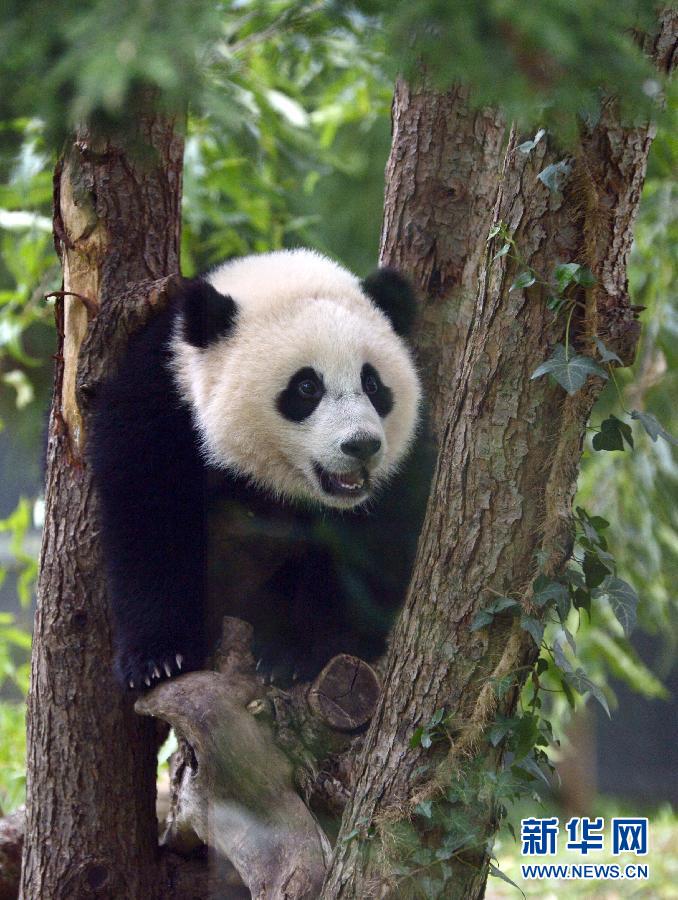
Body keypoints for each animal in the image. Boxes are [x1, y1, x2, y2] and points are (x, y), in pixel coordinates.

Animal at [89, 250, 436, 692]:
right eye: (307, 388)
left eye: (372, 384)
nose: (361, 446)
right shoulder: (162, 403)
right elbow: (150, 523)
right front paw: (159, 658)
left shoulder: (400, 467)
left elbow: (370, 546)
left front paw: (298, 652)